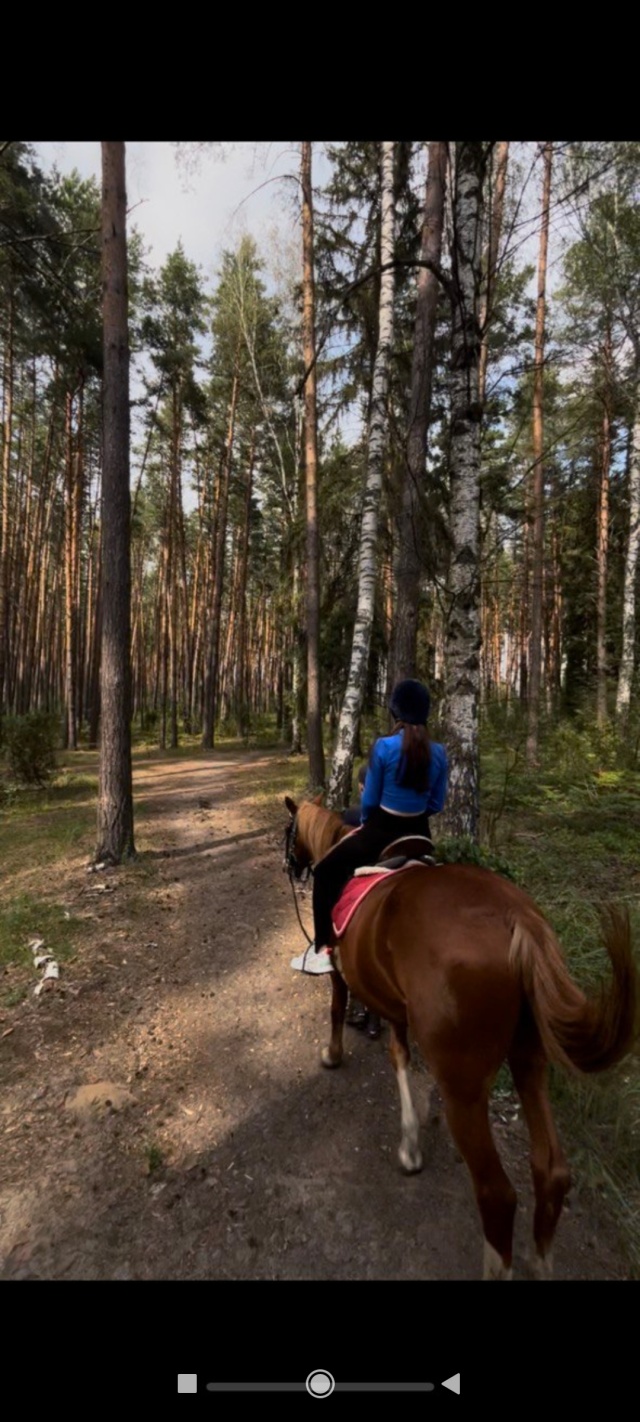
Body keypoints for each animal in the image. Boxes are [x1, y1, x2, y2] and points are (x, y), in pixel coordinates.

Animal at [285, 796, 640, 1285]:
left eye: (289, 832)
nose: (292, 865)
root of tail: (517, 918)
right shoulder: (397, 1006)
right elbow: (399, 1054)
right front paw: (411, 1141)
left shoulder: (342, 970)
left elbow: (339, 1008)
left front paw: (333, 1054)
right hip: (530, 1058)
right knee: (551, 1169)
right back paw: (540, 1258)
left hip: (465, 1088)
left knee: (497, 1194)